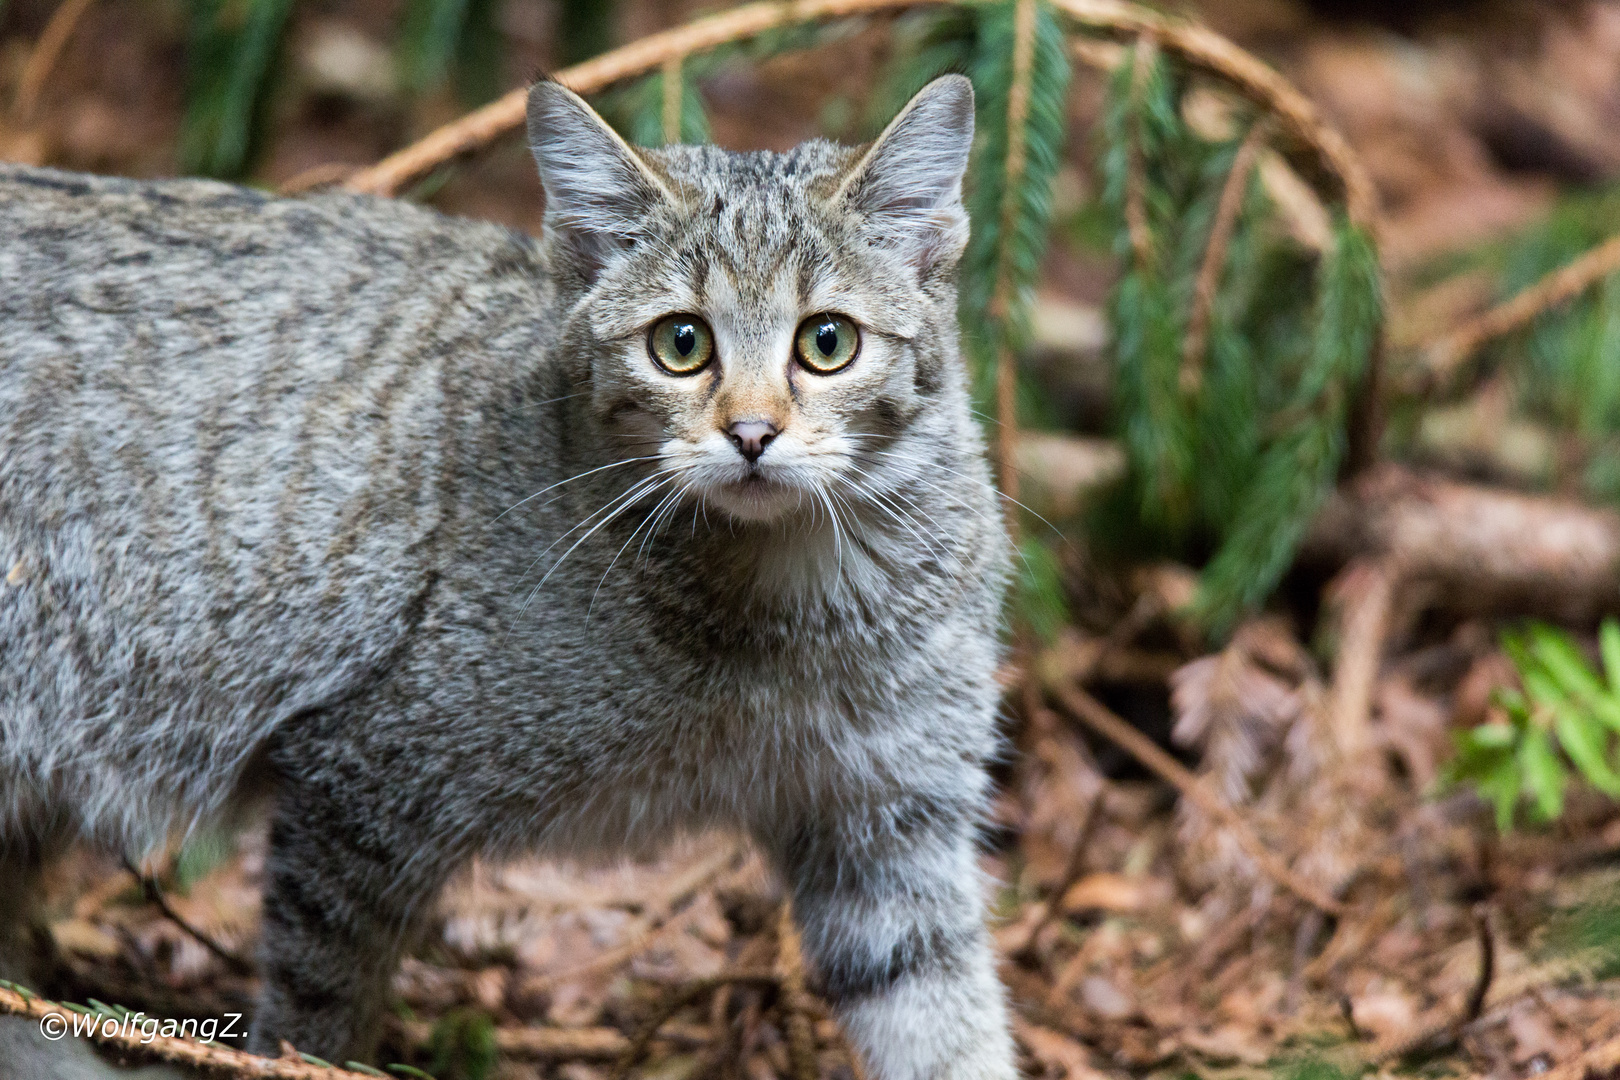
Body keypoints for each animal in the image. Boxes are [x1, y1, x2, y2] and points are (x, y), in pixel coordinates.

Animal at [0, 74, 1010, 1075]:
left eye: (827, 341)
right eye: (681, 343)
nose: (752, 433)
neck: (796, 613)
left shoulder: (892, 824)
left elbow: (948, 1026)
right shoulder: (366, 777)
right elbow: (318, 1003)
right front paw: (307, 1059)